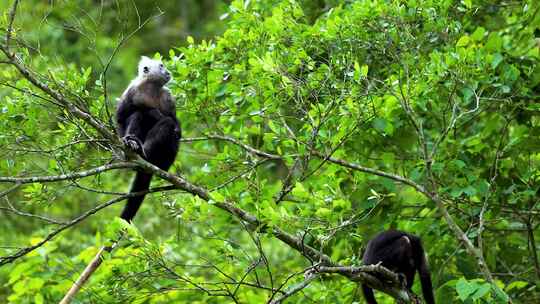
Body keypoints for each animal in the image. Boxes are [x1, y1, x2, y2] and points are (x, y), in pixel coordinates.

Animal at [115, 57, 180, 222]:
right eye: (161, 66)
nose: (167, 71)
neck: (151, 88)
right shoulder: (132, 90)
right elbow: (120, 118)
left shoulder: (168, 97)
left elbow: (175, 123)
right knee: (137, 114)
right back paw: (134, 146)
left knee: (168, 126)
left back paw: (146, 155)